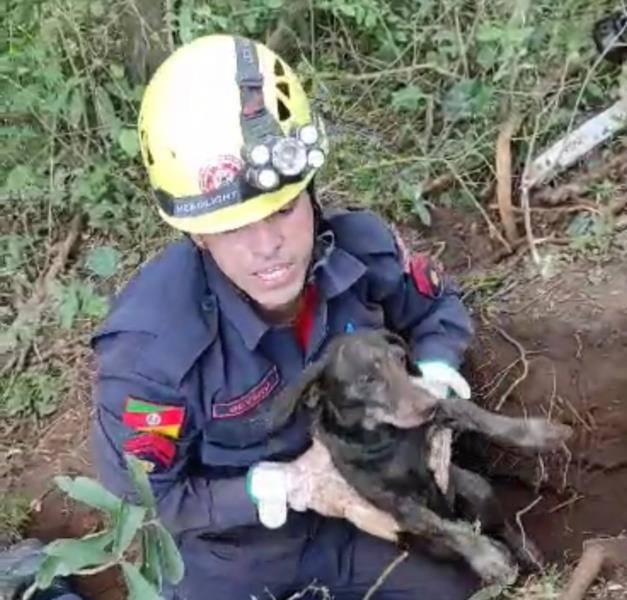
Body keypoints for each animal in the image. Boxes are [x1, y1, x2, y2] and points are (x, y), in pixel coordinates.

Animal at [270, 330, 576, 584]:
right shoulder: (398, 505)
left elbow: (472, 411)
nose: (429, 405)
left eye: (400, 357)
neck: (386, 437)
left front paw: (538, 432)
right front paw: (488, 559)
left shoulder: (441, 417)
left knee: (499, 524)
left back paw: (524, 549)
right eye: (367, 379)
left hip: (477, 489)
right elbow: (444, 527)